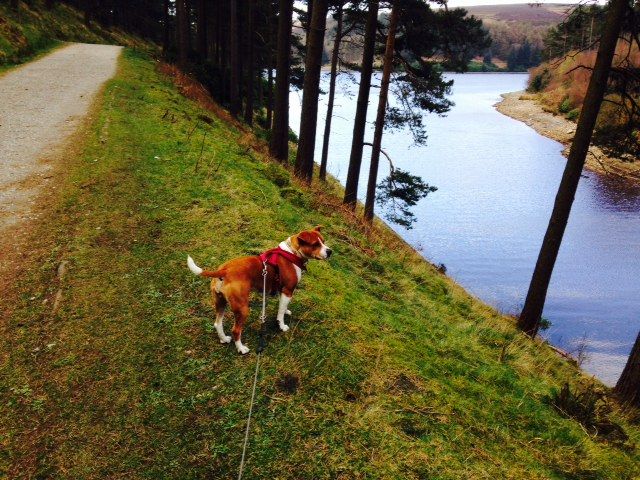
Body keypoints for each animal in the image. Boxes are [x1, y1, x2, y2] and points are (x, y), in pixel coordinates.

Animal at [186, 227, 332, 354]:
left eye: (323, 241)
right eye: (315, 244)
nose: (330, 251)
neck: (292, 253)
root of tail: (224, 270)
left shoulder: (282, 290)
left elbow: (282, 306)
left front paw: (286, 311)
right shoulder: (288, 290)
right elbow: (280, 313)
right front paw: (282, 325)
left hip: (220, 302)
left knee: (217, 323)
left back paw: (224, 339)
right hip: (243, 308)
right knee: (236, 330)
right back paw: (241, 348)